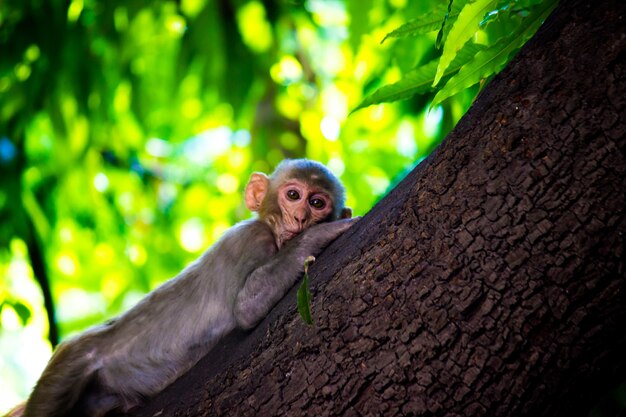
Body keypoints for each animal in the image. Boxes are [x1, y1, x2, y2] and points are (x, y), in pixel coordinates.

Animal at [14, 158, 354, 416]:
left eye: (317, 203)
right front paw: (320, 235)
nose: (301, 218)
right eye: (293, 196)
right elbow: (246, 307)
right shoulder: (250, 240)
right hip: (68, 366)